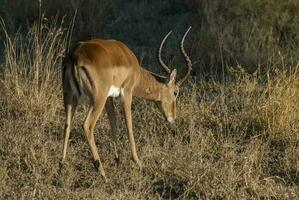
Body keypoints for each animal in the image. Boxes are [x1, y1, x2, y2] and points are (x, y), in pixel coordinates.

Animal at [61, 26, 192, 180]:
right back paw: (102, 172)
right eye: (175, 92)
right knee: (87, 126)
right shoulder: (127, 93)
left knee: (67, 125)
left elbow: (113, 122)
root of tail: (75, 56)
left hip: (70, 98)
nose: (173, 117)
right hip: (97, 100)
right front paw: (138, 162)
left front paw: (118, 159)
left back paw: (62, 165)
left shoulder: (109, 98)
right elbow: (129, 125)